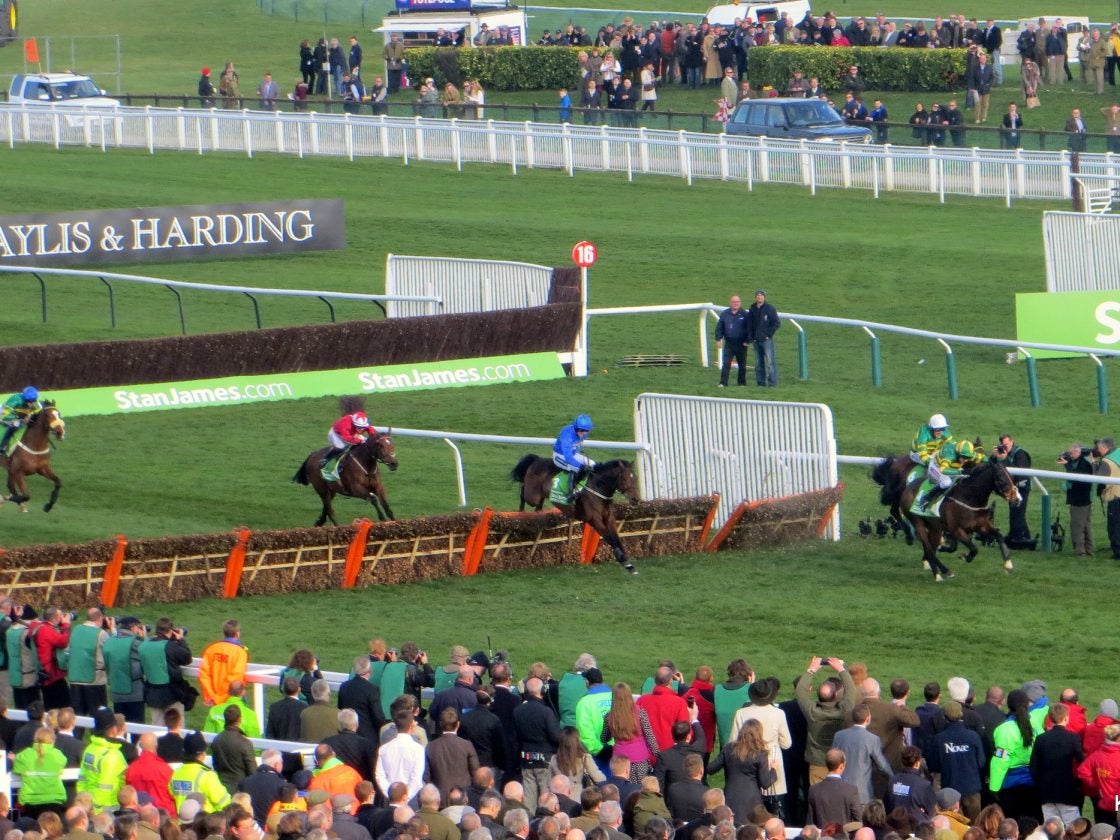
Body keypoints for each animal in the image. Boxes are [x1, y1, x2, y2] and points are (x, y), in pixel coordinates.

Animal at [510, 455, 641, 574]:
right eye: (624, 479)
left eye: (635, 478)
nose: (635, 499)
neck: (598, 488)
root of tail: (536, 459)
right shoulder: (595, 520)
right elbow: (609, 537)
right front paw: (623, 560)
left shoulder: (609, 519)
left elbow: (616, 539)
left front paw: (628, 563)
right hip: (532, 496)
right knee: (523, 494)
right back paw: (520, 511)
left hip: (539, 497)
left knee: (538, 506)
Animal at [886, 458, 1021, 581]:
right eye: (1001, 479)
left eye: (1012, 477)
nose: (1017, 499)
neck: (968, 498)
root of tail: (907, 487)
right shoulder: (956, 530)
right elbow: (973, 548)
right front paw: (965, 556)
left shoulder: (982, 526)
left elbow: (999, 536)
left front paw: (1008, 564)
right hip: (918, 522)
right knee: (929, 549)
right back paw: (941, 573)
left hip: (934, 527)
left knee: (930, 548)